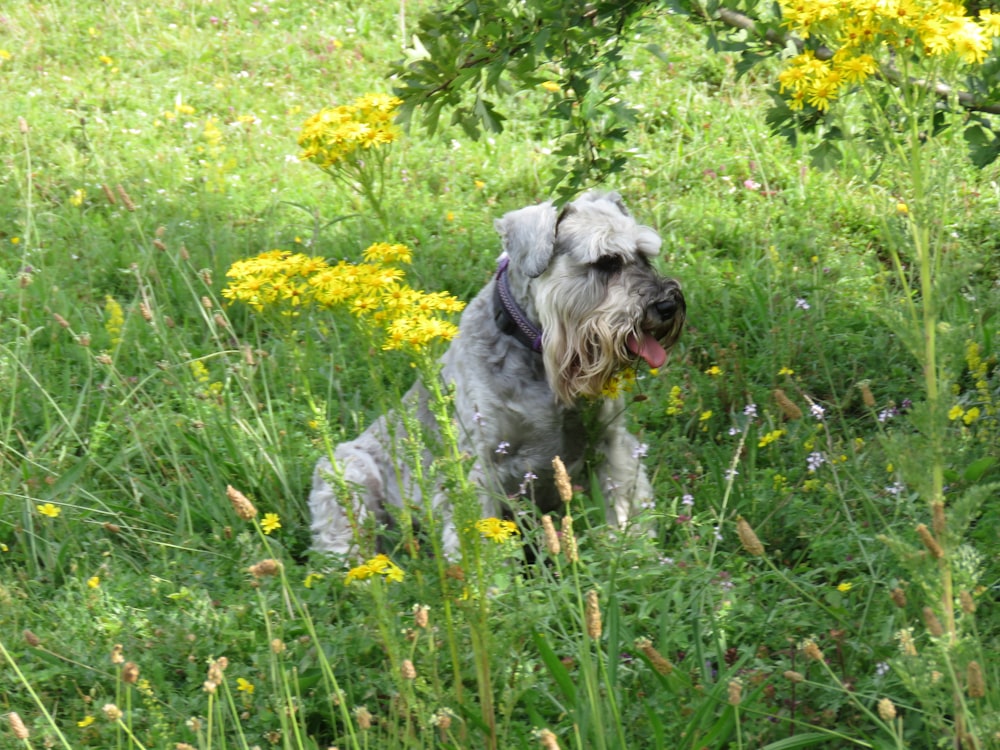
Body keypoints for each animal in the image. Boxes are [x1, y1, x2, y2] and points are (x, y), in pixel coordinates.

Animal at [310, 192, 688, 560]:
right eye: (606, 262)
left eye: (644, 255)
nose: (667, 306)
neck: (536, 352)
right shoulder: (479, 467)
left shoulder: (610, 443)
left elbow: (623, 507)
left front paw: (634, 554)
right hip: (348, 476)